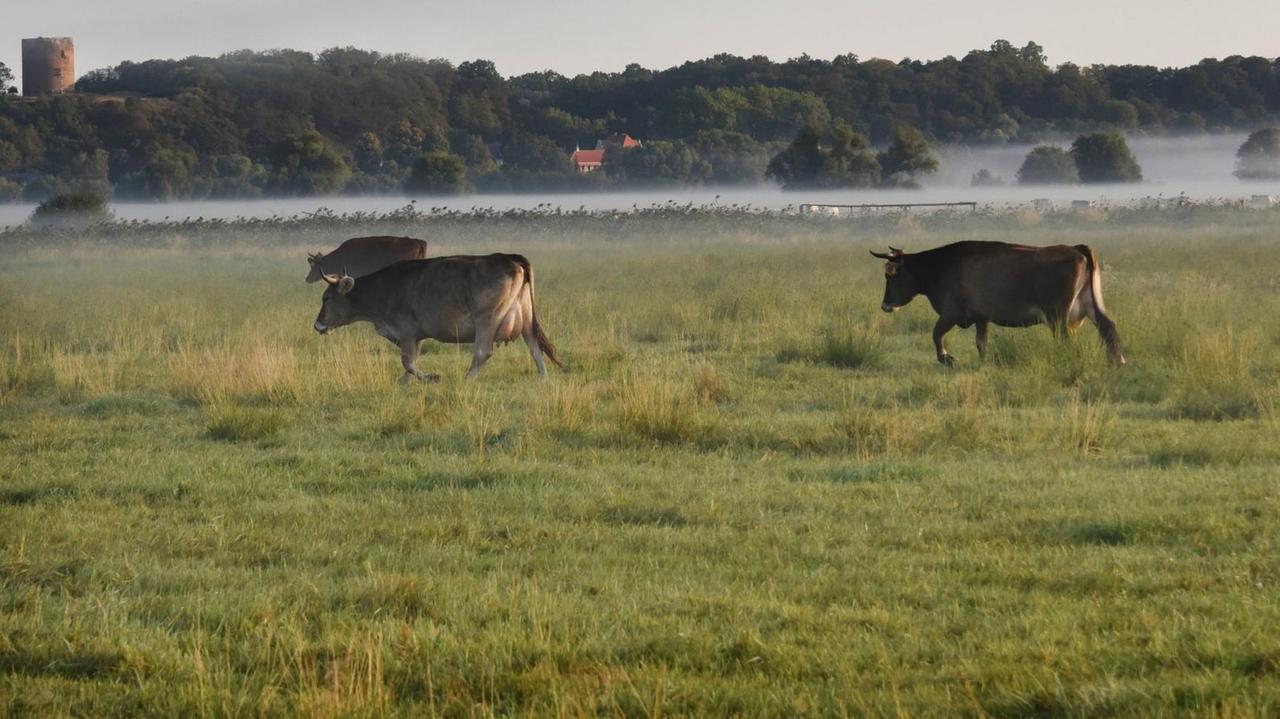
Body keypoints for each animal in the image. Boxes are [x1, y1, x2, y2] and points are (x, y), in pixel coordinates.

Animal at [311, 252, 560, 381]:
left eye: (326, 298)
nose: (317, 325)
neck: (384, 289)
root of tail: (508, 258)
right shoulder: (416, 337)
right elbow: (411, 362)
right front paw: (406, 383)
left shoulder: (406, 332)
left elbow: (408, 361)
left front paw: (430, 378)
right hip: (526, 318)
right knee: (534, 346)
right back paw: (544, 377)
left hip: (486, 319)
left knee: (483, 352)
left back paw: (467, 379)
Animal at [875, 239, 1126, 363]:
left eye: (891, 275)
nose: (885, 305)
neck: (942, 266)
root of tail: (1077, 248)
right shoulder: (981, 318)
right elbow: (981, 343)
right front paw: (983, 362)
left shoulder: (951, 313)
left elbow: (936, 334)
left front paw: (945, 357)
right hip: (1090, 305)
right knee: (1108, 327)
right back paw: (1117, 360)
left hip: (1058, 316)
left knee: (1066, 339)